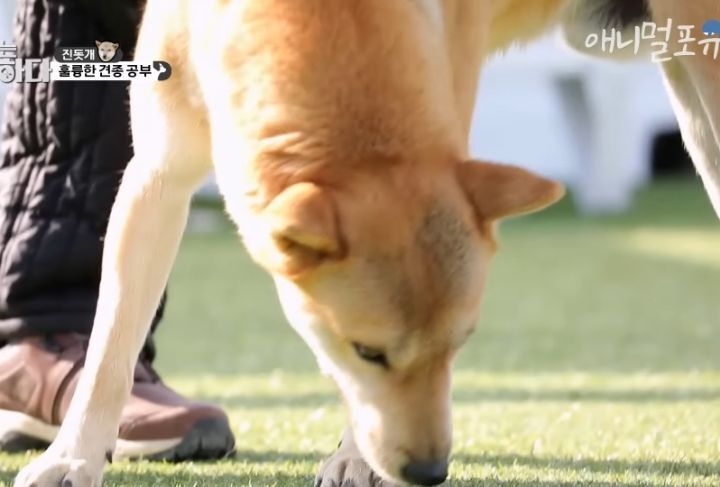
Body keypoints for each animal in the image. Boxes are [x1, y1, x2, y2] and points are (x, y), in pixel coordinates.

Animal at [11, 0, 720, 487]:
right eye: (368, 352)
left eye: (461, 345)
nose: (431, 472)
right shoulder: (155, 176)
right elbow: (108, 352)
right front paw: (71, 459)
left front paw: (357, 460)